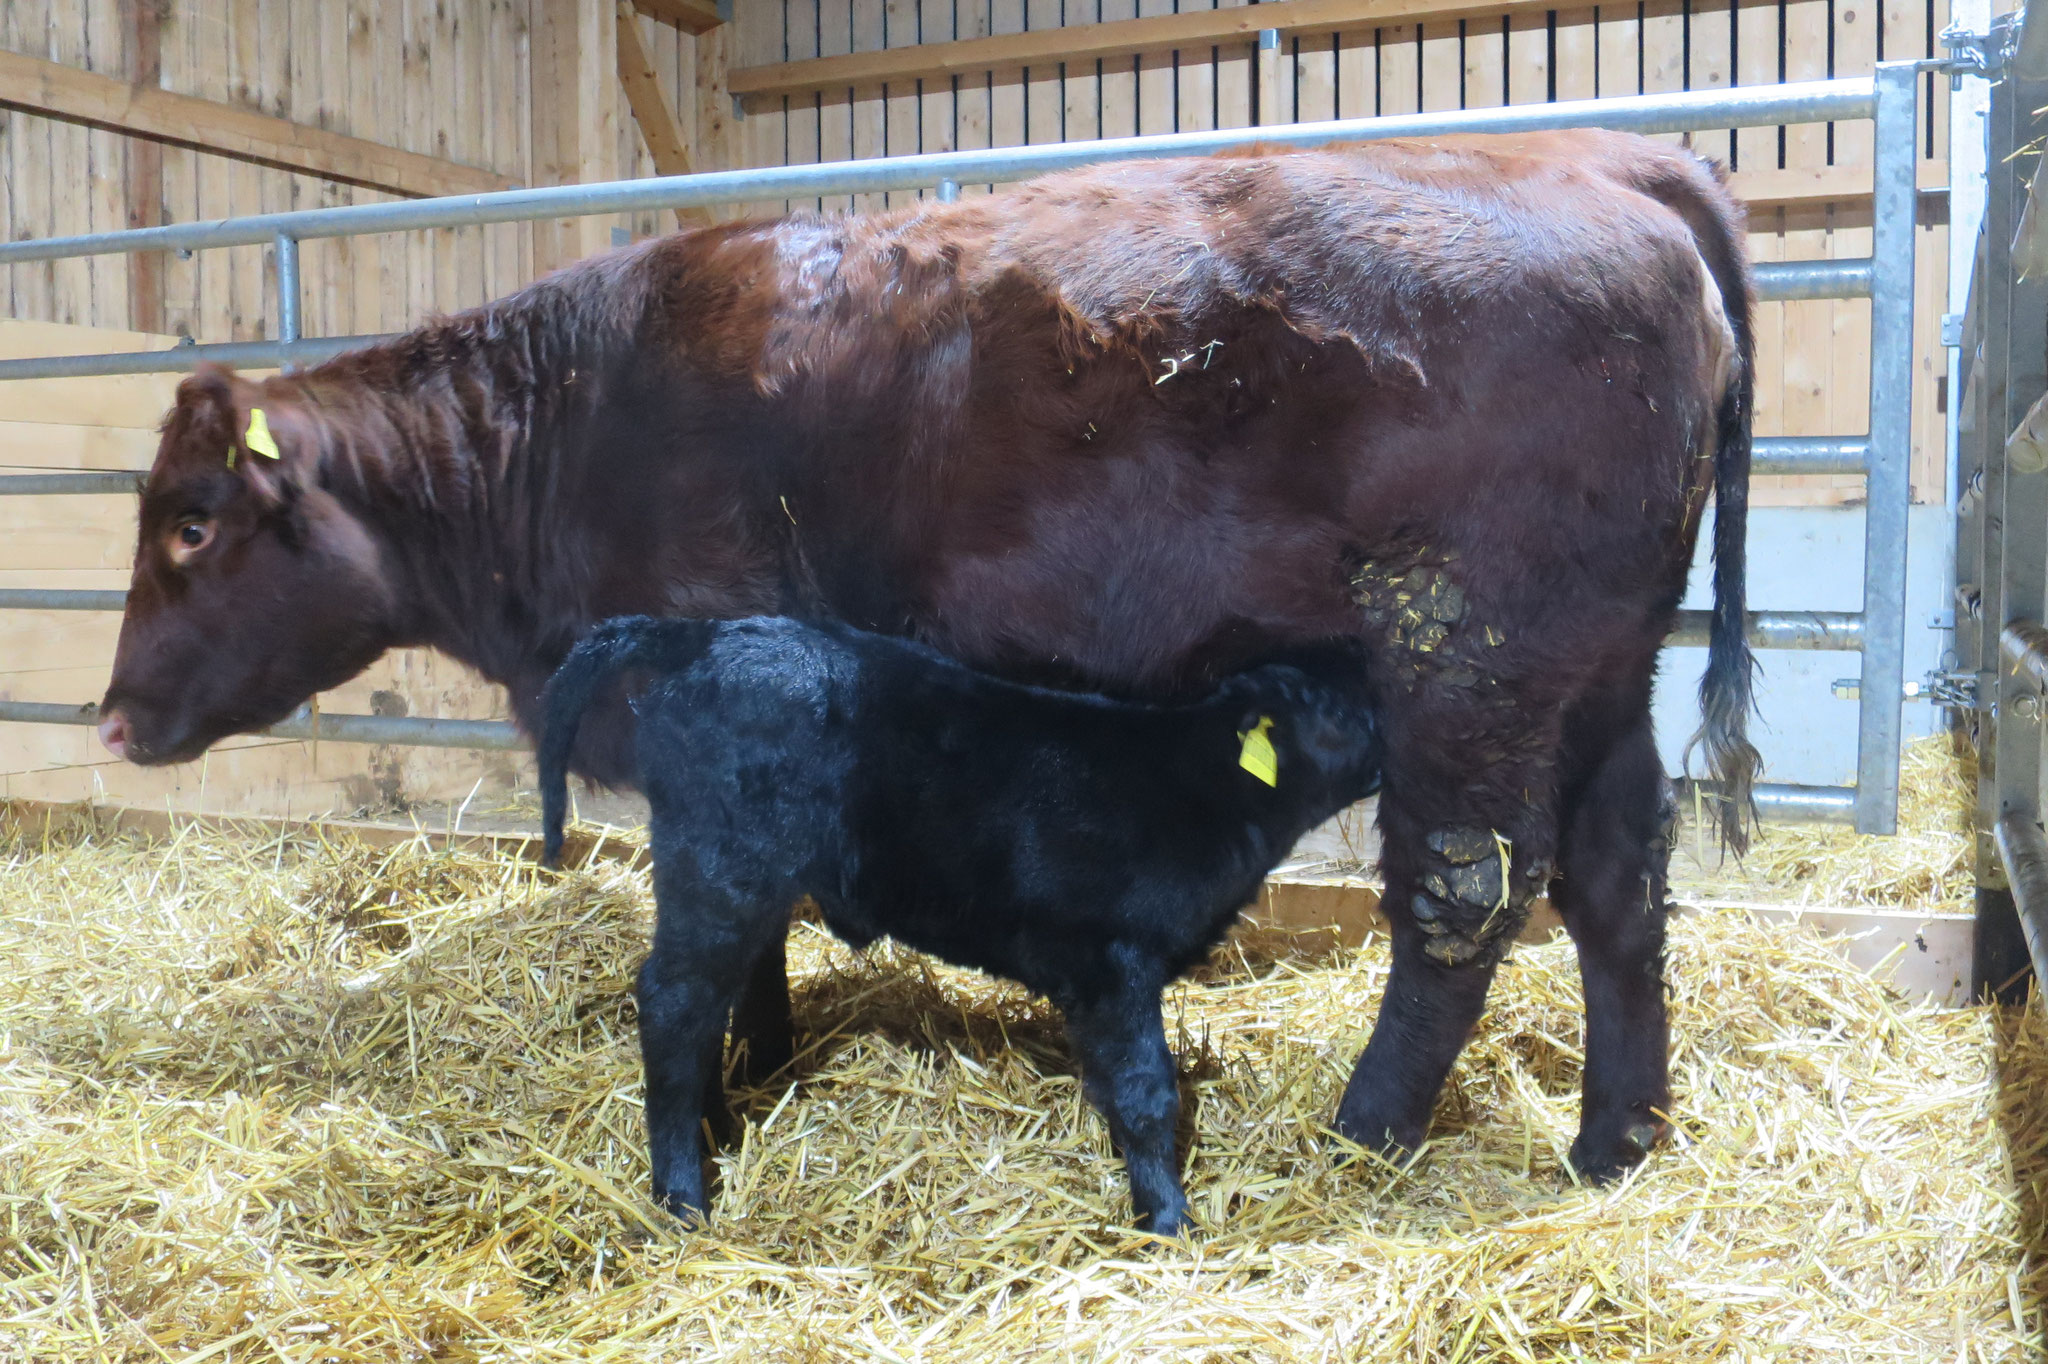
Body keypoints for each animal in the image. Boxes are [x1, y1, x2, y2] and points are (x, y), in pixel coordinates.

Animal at [536, 614, 1384, 1228]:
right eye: (1335, 709)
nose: (1392, 747)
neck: (1196, 789)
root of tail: (701, 634)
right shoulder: (1116, 962)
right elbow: (1147, 1094)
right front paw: (1168, 1220)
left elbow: (1110, 1085)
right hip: (718, 870)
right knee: (675, 1003)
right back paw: (683, 1199)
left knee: (718, 997)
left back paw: (719, 1130)